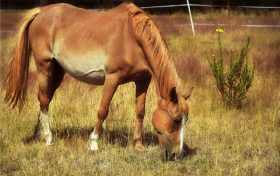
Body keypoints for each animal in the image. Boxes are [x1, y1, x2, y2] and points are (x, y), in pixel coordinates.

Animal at [4, 2, 192, 160]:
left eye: (186, 120)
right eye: (176, 120)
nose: (177, 155)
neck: (132, 36)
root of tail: (41, 11)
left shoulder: (143, 80)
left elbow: (140, 112)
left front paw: (138, 145)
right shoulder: (112, 78)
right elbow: (103, 110)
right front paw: (93, 143)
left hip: (57, 71)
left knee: (45, 99)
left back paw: (40, 133)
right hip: (44, 66)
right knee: (44, 99)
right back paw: (49, 138)